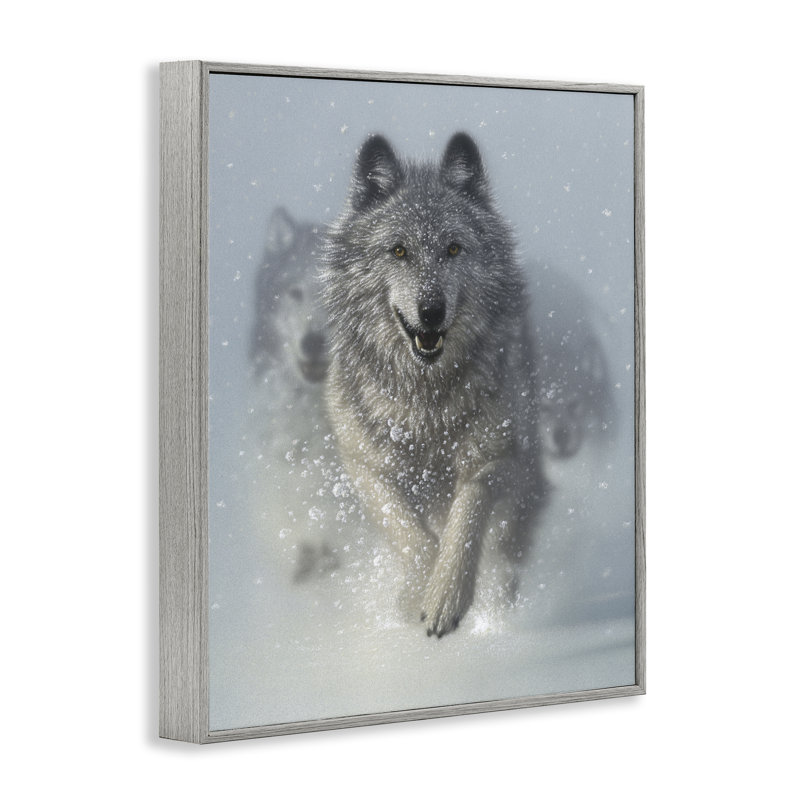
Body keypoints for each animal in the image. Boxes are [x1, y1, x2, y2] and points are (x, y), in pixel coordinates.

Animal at [322, 133, 545, 637]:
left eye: (454, 249)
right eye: (399, 251)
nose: (431, 311)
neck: (424, 403)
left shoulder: (497, 457)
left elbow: (466, 518)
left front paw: (446, 596)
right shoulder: (364, 466)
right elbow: (409, 533)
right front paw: (417, 593)